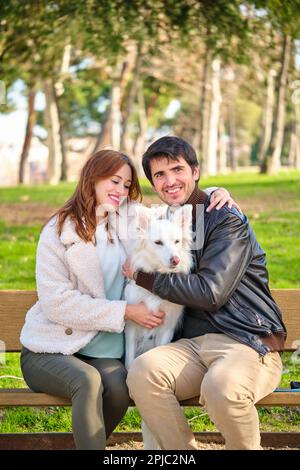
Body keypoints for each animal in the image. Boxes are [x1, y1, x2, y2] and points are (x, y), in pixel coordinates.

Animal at [123, 204, 192, 450]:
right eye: (158, 242)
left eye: (177, 241)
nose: (175, 260)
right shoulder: (131, 328)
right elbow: (129, 361)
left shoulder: (166, 328)